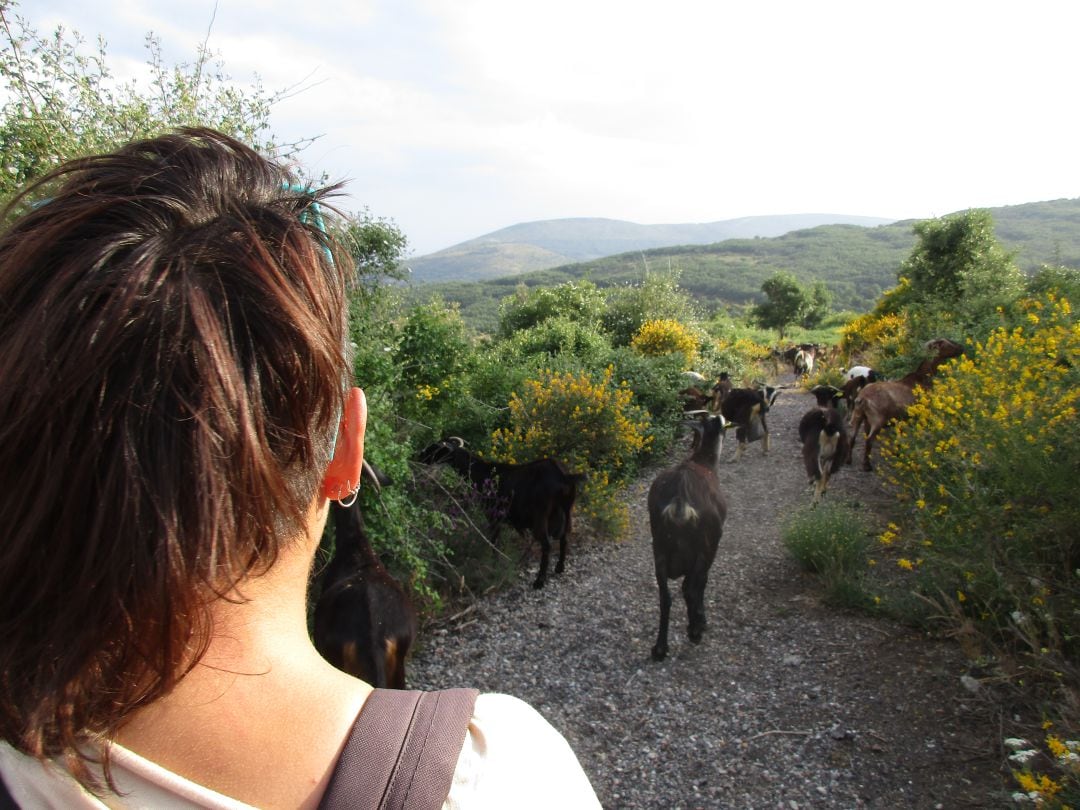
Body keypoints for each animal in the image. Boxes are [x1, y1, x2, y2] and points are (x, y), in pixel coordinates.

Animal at [414, 438, 583, 591]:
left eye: (435, 448)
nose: (418, 456)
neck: (480, 471)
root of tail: (564, 476)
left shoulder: (493, 516)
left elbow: (494, 541)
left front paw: (494, 564)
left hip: (542, 515)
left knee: (547, 544)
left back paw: (539, 581)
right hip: (566, 510)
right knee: (565, 537)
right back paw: (560, 567)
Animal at [643, 414, 730, 660]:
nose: (723, 418)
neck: (705, 462)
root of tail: (680, 501)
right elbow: (699, 584)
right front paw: (700, 621)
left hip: (660, 546)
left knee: (665, 597)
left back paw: (660, 648)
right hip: (706, 543)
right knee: (693, 587)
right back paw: (695, 632)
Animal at [851, 336, 963, 475]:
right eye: (947, 343)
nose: (961, 348)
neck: (921, 378)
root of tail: (862, 398)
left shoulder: (902, 419)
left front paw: (899, 453)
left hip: (860, 416)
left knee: (853, 436)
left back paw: (849, 460)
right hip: (877, 419)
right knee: (869, 440)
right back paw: (867, 466)